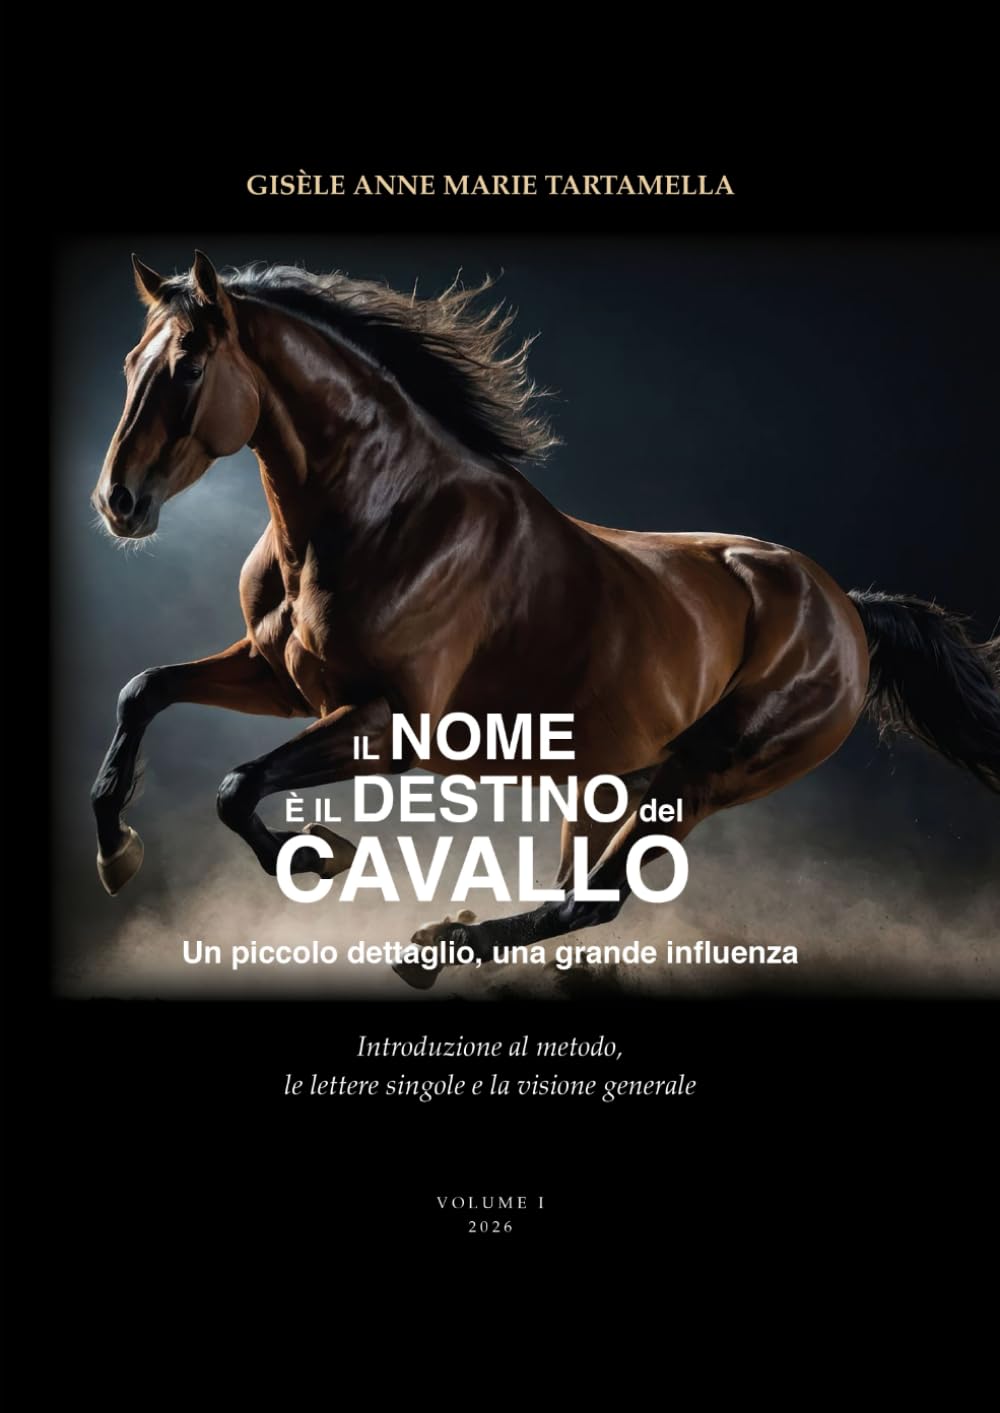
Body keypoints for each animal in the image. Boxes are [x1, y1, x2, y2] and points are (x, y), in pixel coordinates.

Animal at [90, 252, 1000, 989]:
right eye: (132, 360)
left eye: (190, 364)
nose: (117, 502)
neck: (380, 514)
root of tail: (847, 608)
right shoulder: (279, 680)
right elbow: (143, 690)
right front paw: (116, 851)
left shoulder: (388, 723)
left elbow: (236, 784)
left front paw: (319, 853)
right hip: (605, 779)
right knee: (573, 893)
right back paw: (450, 938)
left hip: (704, 774)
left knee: (591, 902)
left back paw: (432, 948)